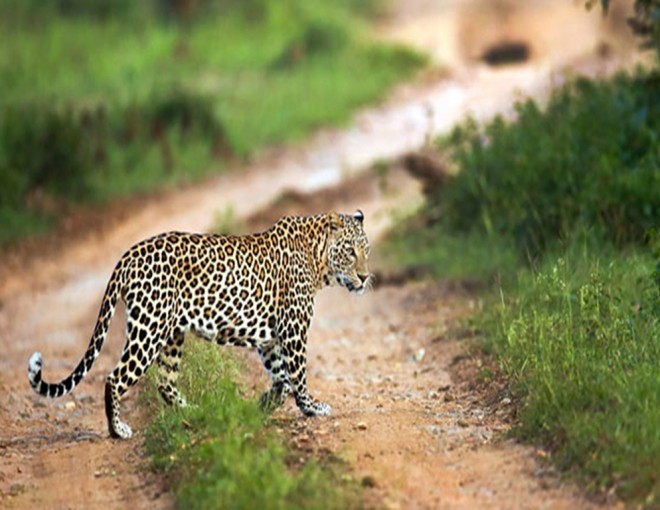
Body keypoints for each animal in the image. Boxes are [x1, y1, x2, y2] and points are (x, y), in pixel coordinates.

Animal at [27, 210, 372, 438]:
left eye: (366, 251)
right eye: (350, 252)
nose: (366, 277)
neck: (317, 258)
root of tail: (128, 255)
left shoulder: (272, 338)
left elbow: (282, 379)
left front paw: (262, 405)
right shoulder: (293, 330)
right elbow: (297, 376)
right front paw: (312, 407)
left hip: (171, 335)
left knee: (164, 382)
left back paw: (195, 412)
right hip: (149, 330)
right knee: (114, 377)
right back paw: (118, 429)